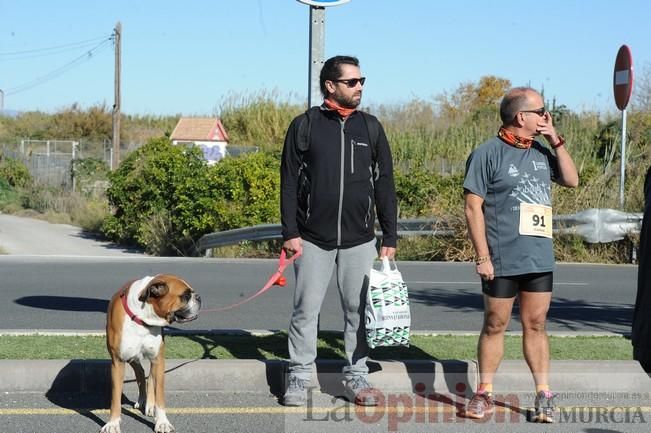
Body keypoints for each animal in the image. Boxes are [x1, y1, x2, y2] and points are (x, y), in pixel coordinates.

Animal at [99, 276, 200, 430]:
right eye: (186, 296)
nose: (199, 297)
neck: (143, 318)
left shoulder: (158, 359)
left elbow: (159, 394)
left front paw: (162, 422)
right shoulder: (118, 362)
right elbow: (115, 397)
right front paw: (113, 423)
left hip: (154, 361)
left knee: (151, 377)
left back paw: (150, 405)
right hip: (132, 358)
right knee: (140, 372)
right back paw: (142, 400)